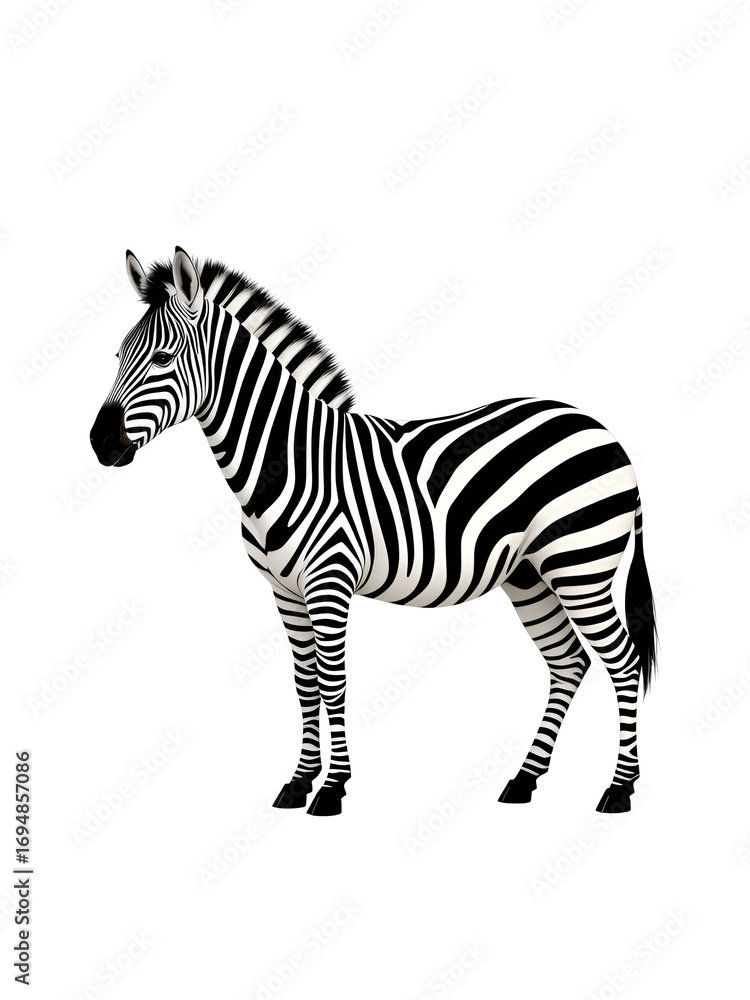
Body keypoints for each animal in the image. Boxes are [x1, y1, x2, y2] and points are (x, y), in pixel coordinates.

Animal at [90, 247, 657, 817]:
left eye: (164, 359)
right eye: (117, 355)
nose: (99, 443)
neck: (291, 460)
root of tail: (601, 428)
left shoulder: (329, 581)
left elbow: (334, 682)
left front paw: (332, 788)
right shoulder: (285, 590)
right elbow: (305, 683)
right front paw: (299, 782)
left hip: (582, 565)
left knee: (624, 663)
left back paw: (620, 788)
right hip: (530, 575)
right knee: (568, 661)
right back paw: (524, 781)